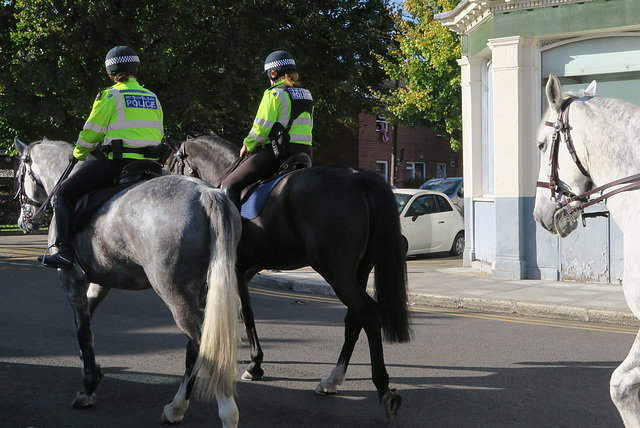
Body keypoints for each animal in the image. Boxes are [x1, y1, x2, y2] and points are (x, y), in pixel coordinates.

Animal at [15, 139, 245, 426]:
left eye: (18, 175)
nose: (22, 221)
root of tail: (207, 193)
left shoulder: (71, 281)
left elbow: (84, 330)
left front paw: (88, 388)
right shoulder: (101, 282)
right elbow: (86, 320)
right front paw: (93, 369)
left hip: (175, 294)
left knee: (208, 348)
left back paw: (227, 413)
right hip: (202, 292)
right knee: (195, 350)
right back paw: (176, 407)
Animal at [168, 135, 412, 418]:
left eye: (172, 162)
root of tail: (359, 178)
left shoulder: (236, 271)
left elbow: (247, 315)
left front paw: (254, 364)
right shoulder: (245, 272)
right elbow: (244, 314)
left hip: (336, 271)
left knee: (368, 313)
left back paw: (383, 388)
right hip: (359, 269)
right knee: (354, 319)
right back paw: (333, 379)